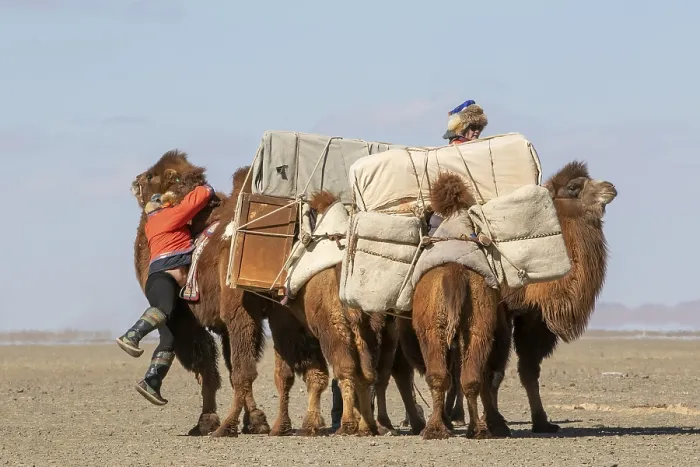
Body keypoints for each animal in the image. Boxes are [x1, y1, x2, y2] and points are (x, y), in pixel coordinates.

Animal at [131, 151, 329, 437]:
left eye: (150, 176)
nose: (135, 180)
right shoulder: (225, 323)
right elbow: (227, 364)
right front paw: (256, 421)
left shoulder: (190, 318)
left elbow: (207, 367)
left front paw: (207, 421)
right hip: (287, 312)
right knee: (297, 369)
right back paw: (296, 424)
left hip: (243, 309)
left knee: (247, 370)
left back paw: (226, 426)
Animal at [438, 160, 618, 434]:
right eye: (574, 187)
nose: (610, 187)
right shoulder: (503, 310)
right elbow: (494, 370)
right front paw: (496, 422)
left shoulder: (532, 314)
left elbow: (528, 370)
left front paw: (542, 421)